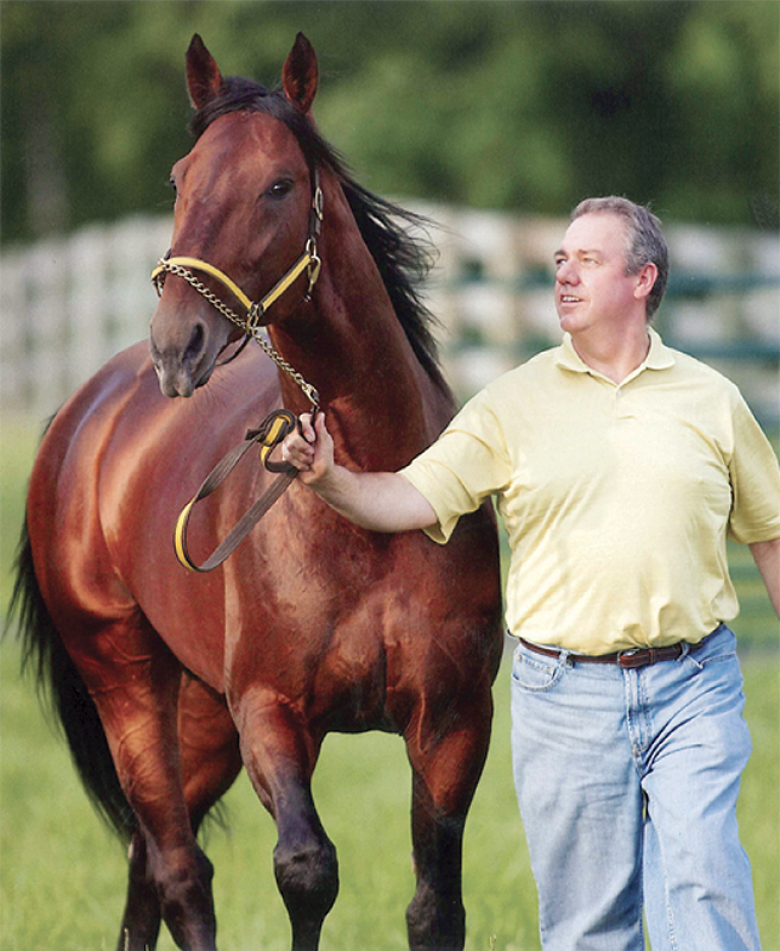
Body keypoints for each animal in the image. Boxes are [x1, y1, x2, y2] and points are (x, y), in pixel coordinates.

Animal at [9, 31, 502, 951]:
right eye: (179, 180)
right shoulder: (273, 713)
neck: (372, 506)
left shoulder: (453, 721)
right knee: (177, 868)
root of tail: (85, 411)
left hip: (203, 716)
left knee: (146, 860)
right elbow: (306, 869)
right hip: (129, 682)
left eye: (278, 184)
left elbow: (434, 906)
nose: (178, 344)